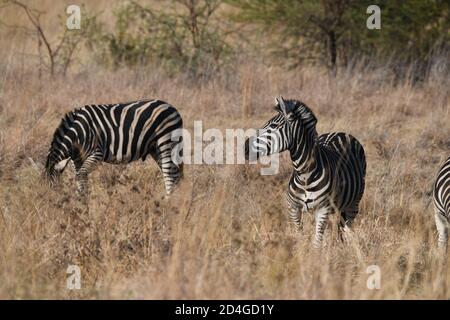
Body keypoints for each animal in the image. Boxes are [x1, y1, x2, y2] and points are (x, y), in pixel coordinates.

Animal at [44, 99, 184, 201]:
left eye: (52, 188)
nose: (49, 205)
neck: (78, 132)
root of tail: (172, 108)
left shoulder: (96, 153)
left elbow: (81, 175)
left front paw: (81, 201)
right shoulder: (77, 159)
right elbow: (81, 178)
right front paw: (81, 200)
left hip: (166, 142)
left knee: (170, 174)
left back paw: (169, 202)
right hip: (155, 149)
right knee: (173, 173)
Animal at [244, 96, 368, 246]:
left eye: (273, 126)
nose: (245, 148)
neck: (304, 174)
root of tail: (340, 133)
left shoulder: (323, 210)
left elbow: (317, 243)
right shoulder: (294, 208)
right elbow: (299, 237)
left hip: (353, 204)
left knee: (346, 230)